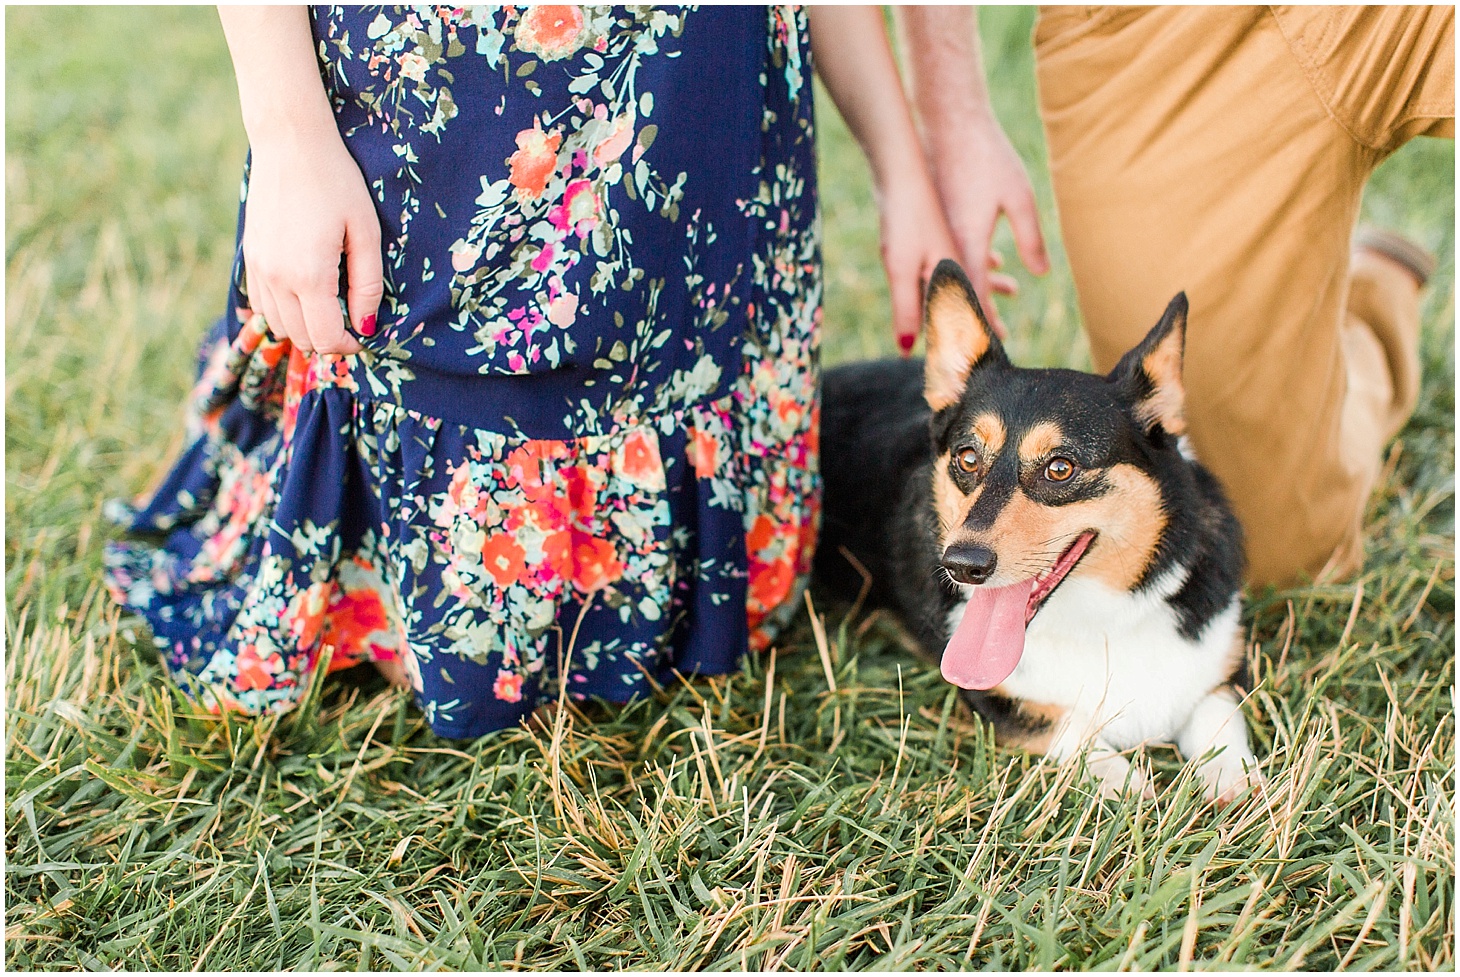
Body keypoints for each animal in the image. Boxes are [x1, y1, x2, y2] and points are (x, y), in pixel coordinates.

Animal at [817, 258, 1261, 800]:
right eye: (967, 458)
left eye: (1060, 468)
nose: (961, 566)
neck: (1100, 621)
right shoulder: (1000, 698)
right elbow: (1073, 729)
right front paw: (1132, 787)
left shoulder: (1218, 675)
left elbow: (1222, 727)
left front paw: (1237, 786)